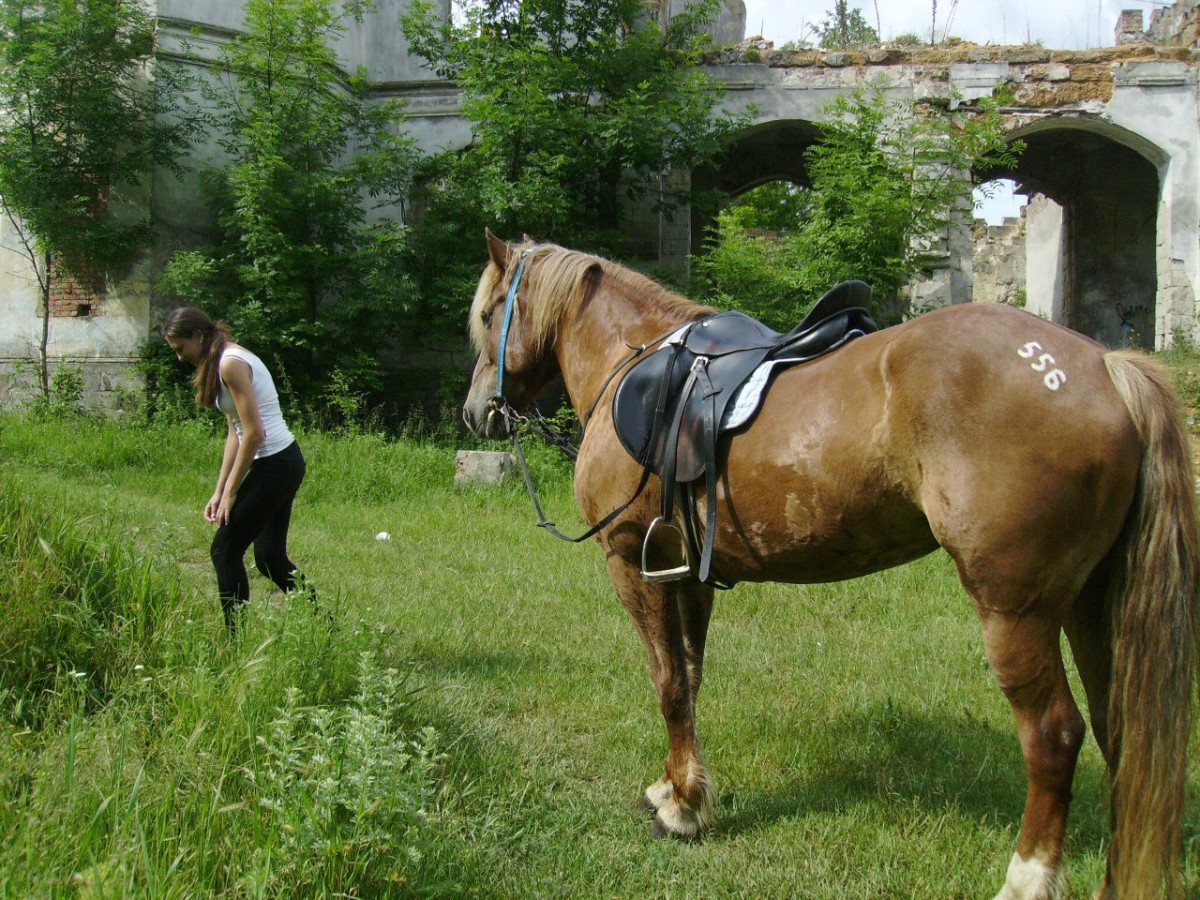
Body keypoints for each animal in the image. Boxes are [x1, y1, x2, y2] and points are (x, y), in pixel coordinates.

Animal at [460, 232, 1200, 900]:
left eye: (491, 313)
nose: (475, 413)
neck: (636, 363)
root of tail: (1105, 368)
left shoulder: (632, 562)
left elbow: (668, 682)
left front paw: (679, 813)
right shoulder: (686, 572)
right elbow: (691, 681)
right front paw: (681, 791)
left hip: (1015, 612)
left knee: (1054, 738)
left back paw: (1026, 880)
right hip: (1090, 604)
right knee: (1120, 734)